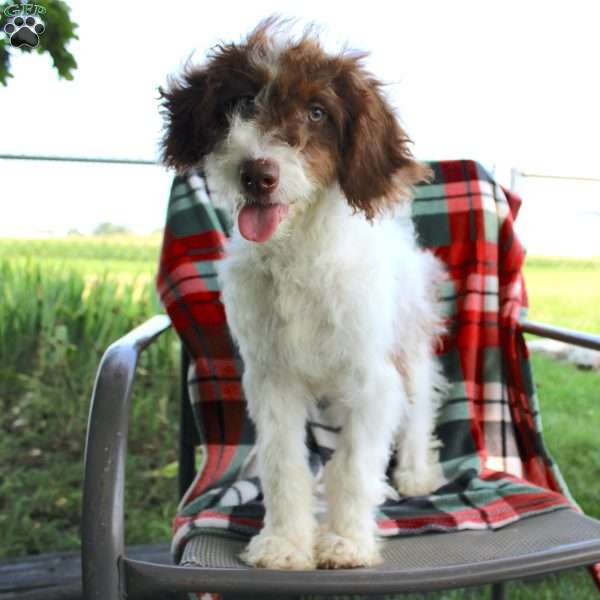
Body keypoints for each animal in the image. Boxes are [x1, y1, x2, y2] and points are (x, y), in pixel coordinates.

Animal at [159, 18, 446, 568]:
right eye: (241, 102)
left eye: (317, 112)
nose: (257, 174)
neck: (302, 257)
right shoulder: (272, 378)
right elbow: (282, 463)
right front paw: (284, 543)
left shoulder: (371, 376)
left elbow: (354, 467)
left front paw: (347, 542)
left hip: (409, 347)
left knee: (419, 408)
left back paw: (414, 473)